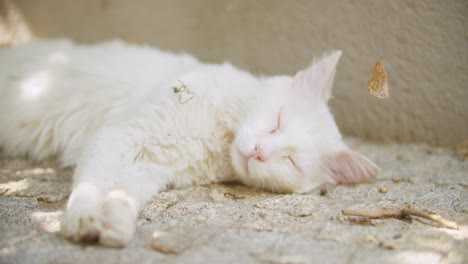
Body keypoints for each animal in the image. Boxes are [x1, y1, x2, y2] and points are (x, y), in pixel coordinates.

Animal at [0, 39, 378, 248]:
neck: (218, 139)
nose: (259, 151)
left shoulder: (149, 167)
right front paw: (83, 219)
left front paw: (114, 224)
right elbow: (92, 185)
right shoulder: (119, 136)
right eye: (277, 122)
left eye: (290, 161)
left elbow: (123, 195)